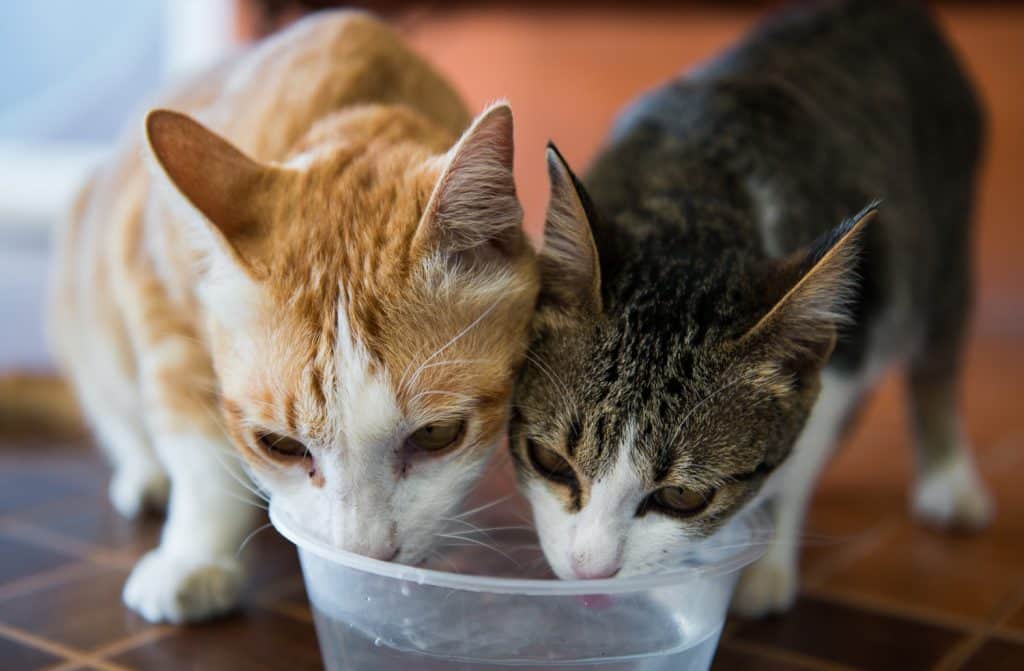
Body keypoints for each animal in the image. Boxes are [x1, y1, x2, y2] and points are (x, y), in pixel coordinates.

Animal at [50, 11, 540, 622]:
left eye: (436, 434)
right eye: (280, 445)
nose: (365, 555)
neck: (351, 106)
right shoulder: (153, 287)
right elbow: (196, 451)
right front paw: (193, 558)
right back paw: (144, 474)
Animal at [512, 0, 991, 618]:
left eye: (683, 496)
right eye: (548, 460)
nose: (591, 572)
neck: (700, 198)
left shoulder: (847, 350)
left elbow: (797, 459)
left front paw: (760, 565)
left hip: (945, 233)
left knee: (939, 345)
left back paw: (949, 475)